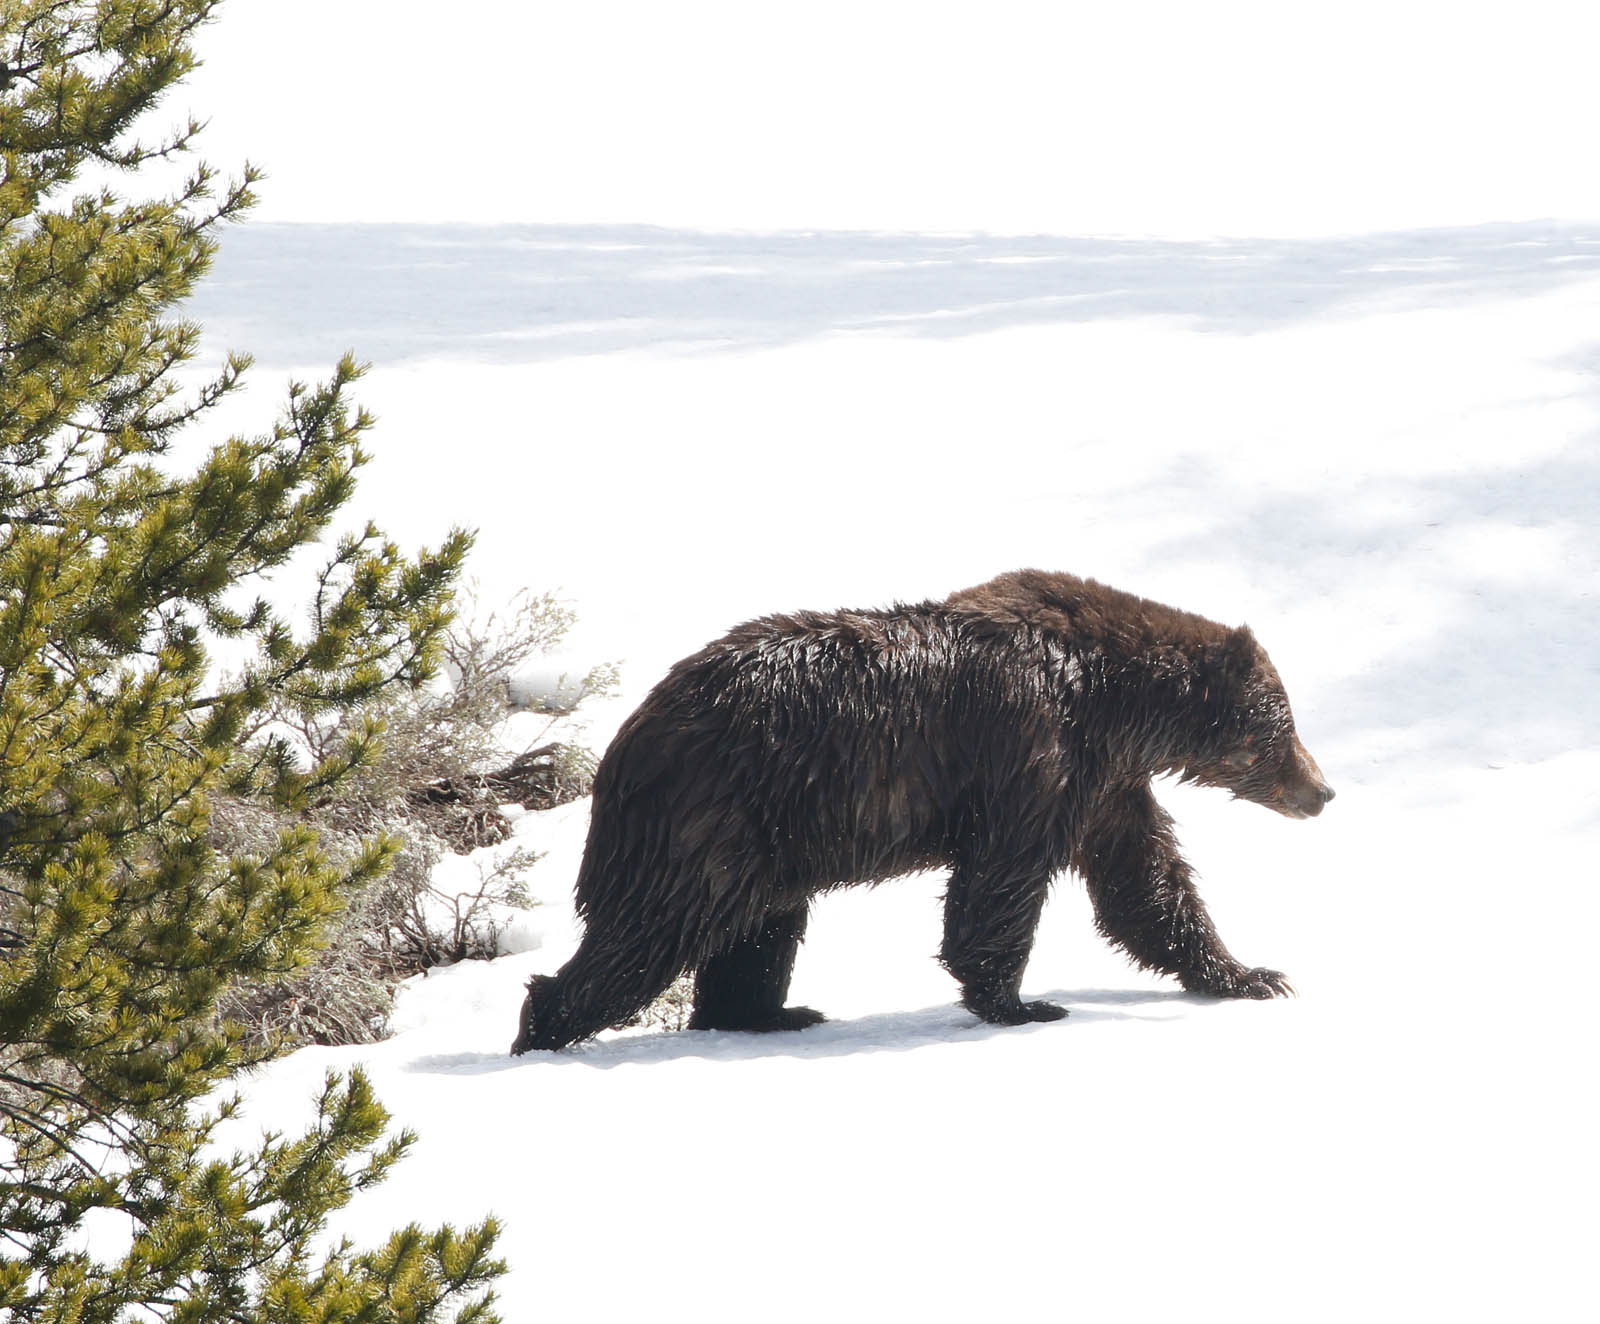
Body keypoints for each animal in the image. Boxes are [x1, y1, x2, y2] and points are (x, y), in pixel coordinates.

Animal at [508, 569, 1324, 1055]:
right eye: (1280, 726)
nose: (1322, 790)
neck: (1111, 700)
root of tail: (625, 739)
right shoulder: (1030, 753)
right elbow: (1001, 882)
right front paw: (1024, 1004)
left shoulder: (1104, 784)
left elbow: (1146, 887)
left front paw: (1250, 974)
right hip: (706, 817)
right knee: (648, 934)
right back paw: (544, 1027)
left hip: (765, 838)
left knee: (759, 932)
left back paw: (770, 1013)